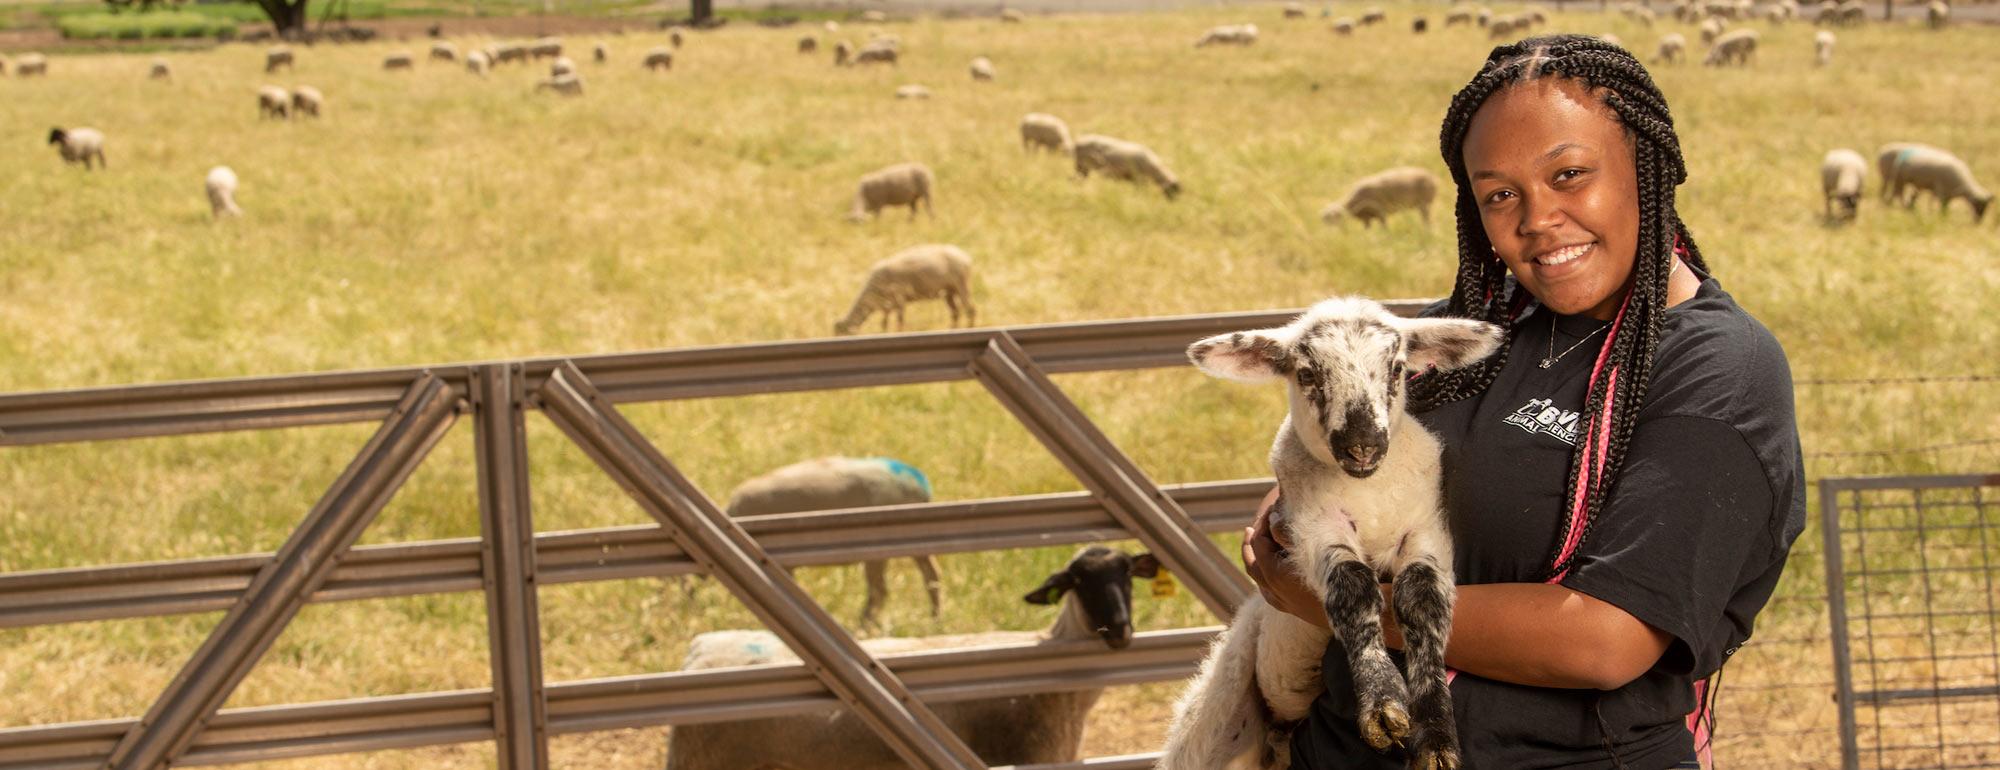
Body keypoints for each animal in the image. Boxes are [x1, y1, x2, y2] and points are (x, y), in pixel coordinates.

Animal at [712, 456, 944, 624]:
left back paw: (864, 625)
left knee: (879, 591)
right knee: (931, 575)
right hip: (915, 544)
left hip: (879, 551)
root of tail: (920, 484)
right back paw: (934, 618)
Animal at [828, 243, 976, 332]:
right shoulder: (887, 307)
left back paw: (969, 327)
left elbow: (899, 322)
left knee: (970, 310)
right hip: (948, 292)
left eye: (842, 333)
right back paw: (953, 329)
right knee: (955, 312)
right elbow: (884, 323)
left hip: (962, 286)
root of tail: (966, 257)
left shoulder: (900, 301)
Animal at [1160, 296, 1504, 768]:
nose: (1363, 445)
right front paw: (1381, 702)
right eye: (1307, 374)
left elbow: (1422, 600)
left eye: (1397, 368)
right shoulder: (1313, 528)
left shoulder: (1425, 530)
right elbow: (1353, 588)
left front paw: (1436, 734)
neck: (1369, 493)